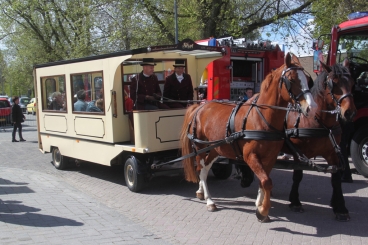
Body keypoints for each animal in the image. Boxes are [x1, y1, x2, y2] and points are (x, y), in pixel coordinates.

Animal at [180, 53, 316, 222]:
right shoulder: (250, 156)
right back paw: (209, 200)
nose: (311, 107)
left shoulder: (270, 157)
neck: (262, 118)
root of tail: (199, 107)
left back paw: (202, 194)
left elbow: (263, 181)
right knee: (201, 169)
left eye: (307, 79)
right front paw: (263, 210)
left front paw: (259, 205)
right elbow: (266, 181)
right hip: (200, 148)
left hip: (216, 149)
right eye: (291, 79)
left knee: (204, 169)